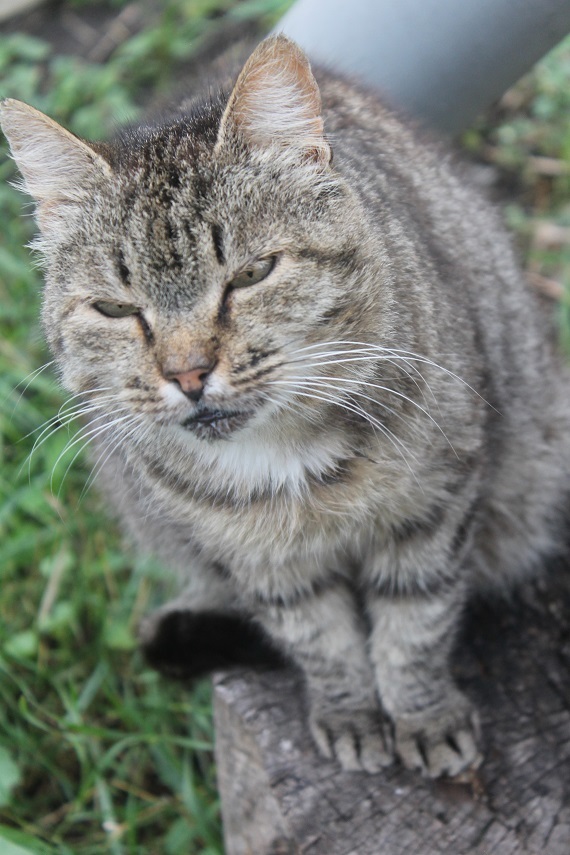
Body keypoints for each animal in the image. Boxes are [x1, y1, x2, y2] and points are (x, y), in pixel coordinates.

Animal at [1, 33, 568, 780]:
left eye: (251, 274)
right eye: (116, 309)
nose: (187, 373)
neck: (286, 460)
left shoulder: (434, 503)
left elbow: (414, 623)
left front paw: (423, 717)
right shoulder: (260, 561)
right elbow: (321, 639)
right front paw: (351, 715)